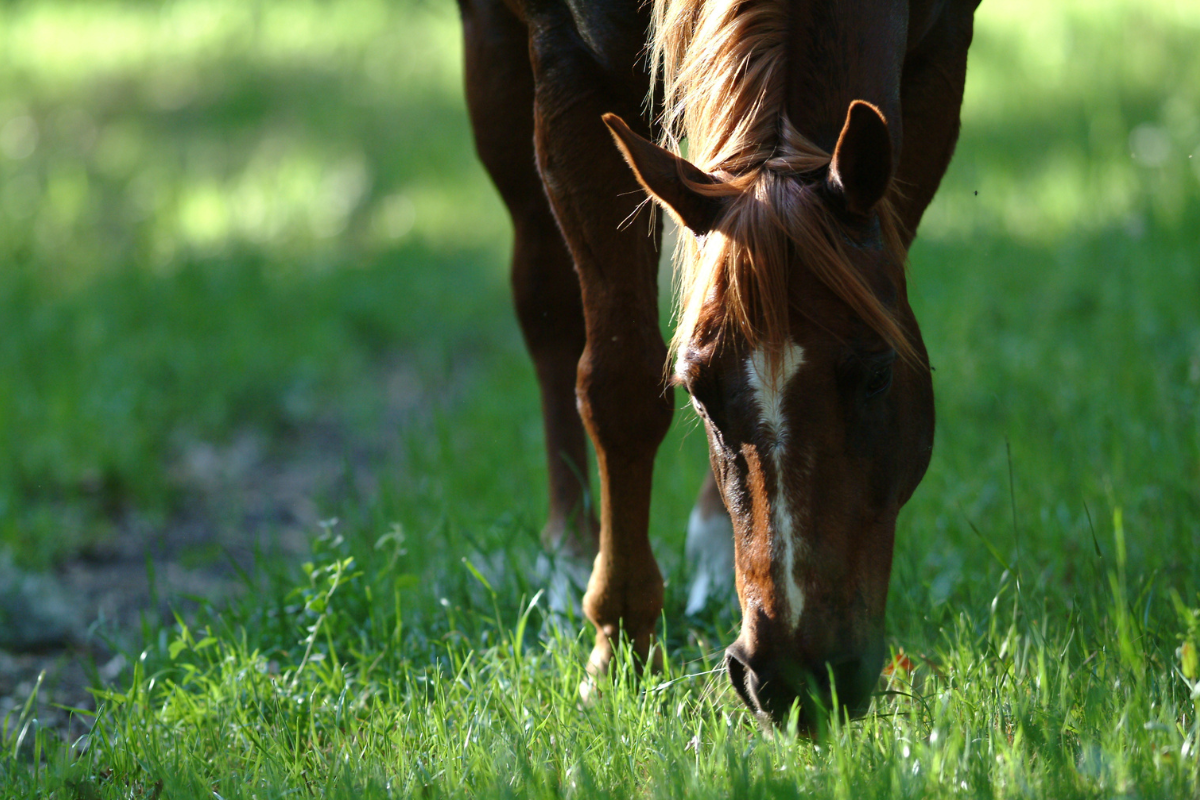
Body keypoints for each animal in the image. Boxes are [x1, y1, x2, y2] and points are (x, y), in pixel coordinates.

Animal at [453, 0, 979, 734]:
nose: (794, 677)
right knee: (544, 294)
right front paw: (619, 647)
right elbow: (616, 385)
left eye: (878, 374)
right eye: (696, 393)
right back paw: (567, 553)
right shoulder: (570, 64)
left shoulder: (941, 50)